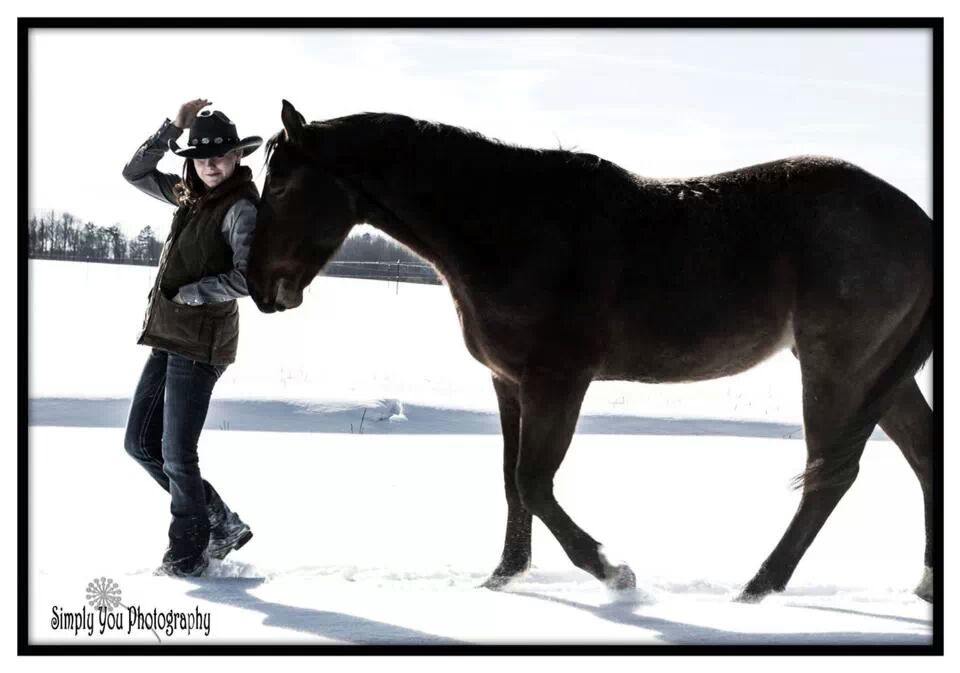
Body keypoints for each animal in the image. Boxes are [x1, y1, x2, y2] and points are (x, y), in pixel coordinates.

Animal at [244, 101, 932, 604]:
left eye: (279, 187)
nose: (258, 287)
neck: (511, 227)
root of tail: (921, 224)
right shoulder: (510, 382)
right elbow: (511, 481)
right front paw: (502, 578)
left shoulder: (559, 380)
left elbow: (534, 482)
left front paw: (611, 571)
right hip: (882, 374)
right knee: (923, 456)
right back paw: (922, 584)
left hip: (838, 368)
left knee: (831, 475)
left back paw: (757, 590)